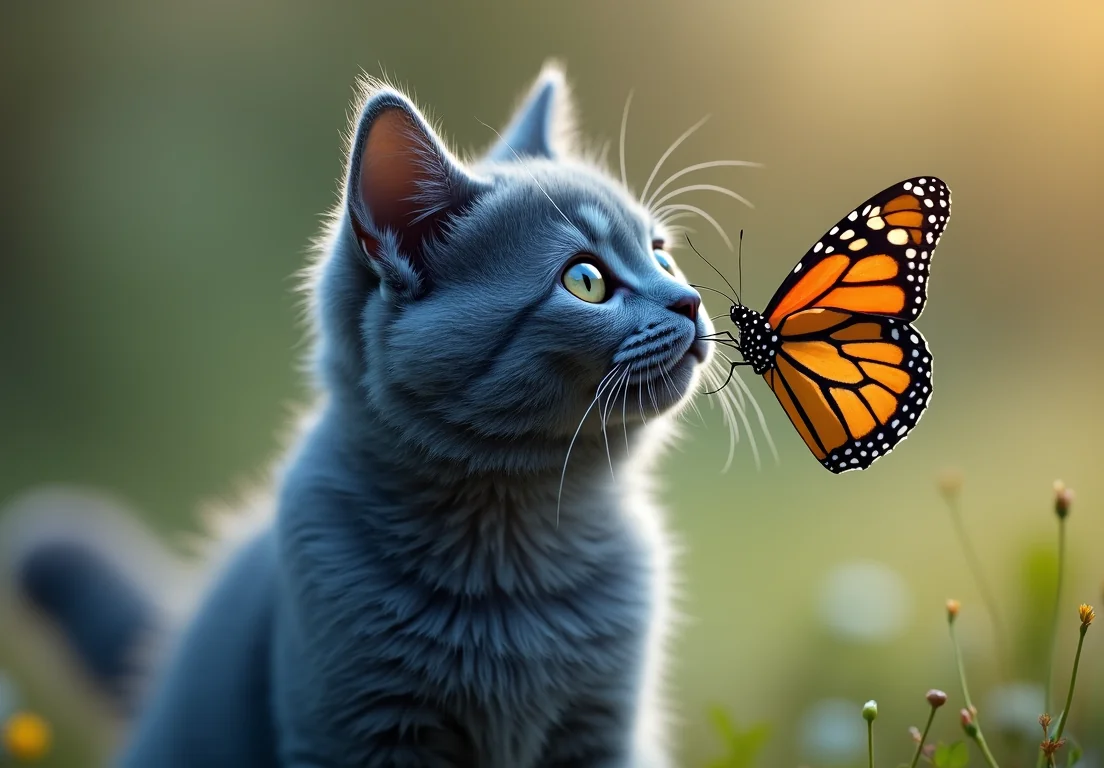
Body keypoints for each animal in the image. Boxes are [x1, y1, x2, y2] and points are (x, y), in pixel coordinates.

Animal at [6, 64, 715, 768]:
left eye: (661, 253)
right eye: (585, 280)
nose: (688, 299)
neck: (514, 550)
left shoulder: (606, 732)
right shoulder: (359, 729)